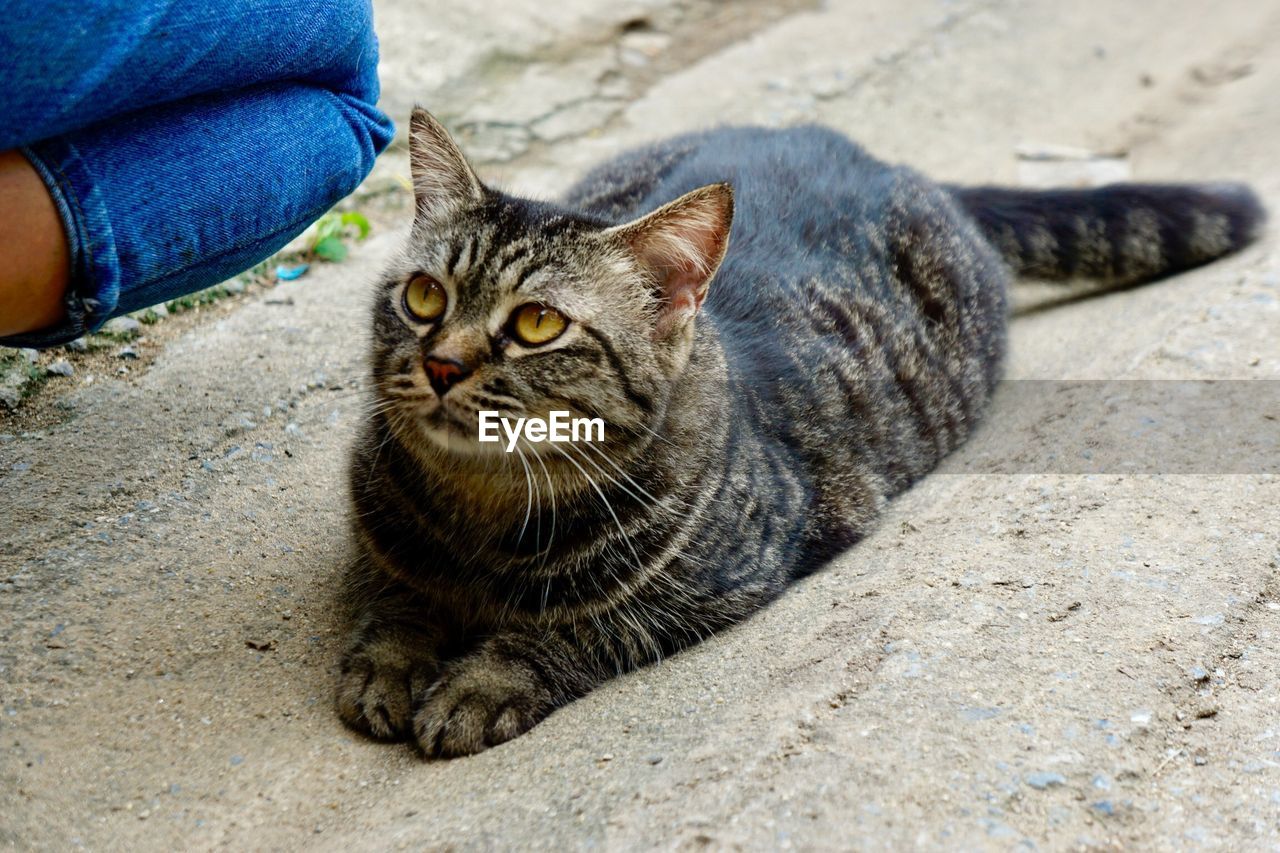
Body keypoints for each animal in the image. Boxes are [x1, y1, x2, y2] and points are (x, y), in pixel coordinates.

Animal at [335, 108, 1264, 758]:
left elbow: (572, 628)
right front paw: (390, 659)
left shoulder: (731, 572)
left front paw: (478, 684)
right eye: (423, 296)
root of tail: (889, 161)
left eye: (536, 324)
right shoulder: (379, 528)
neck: (480, 516)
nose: (442, 363)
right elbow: (393, 592)